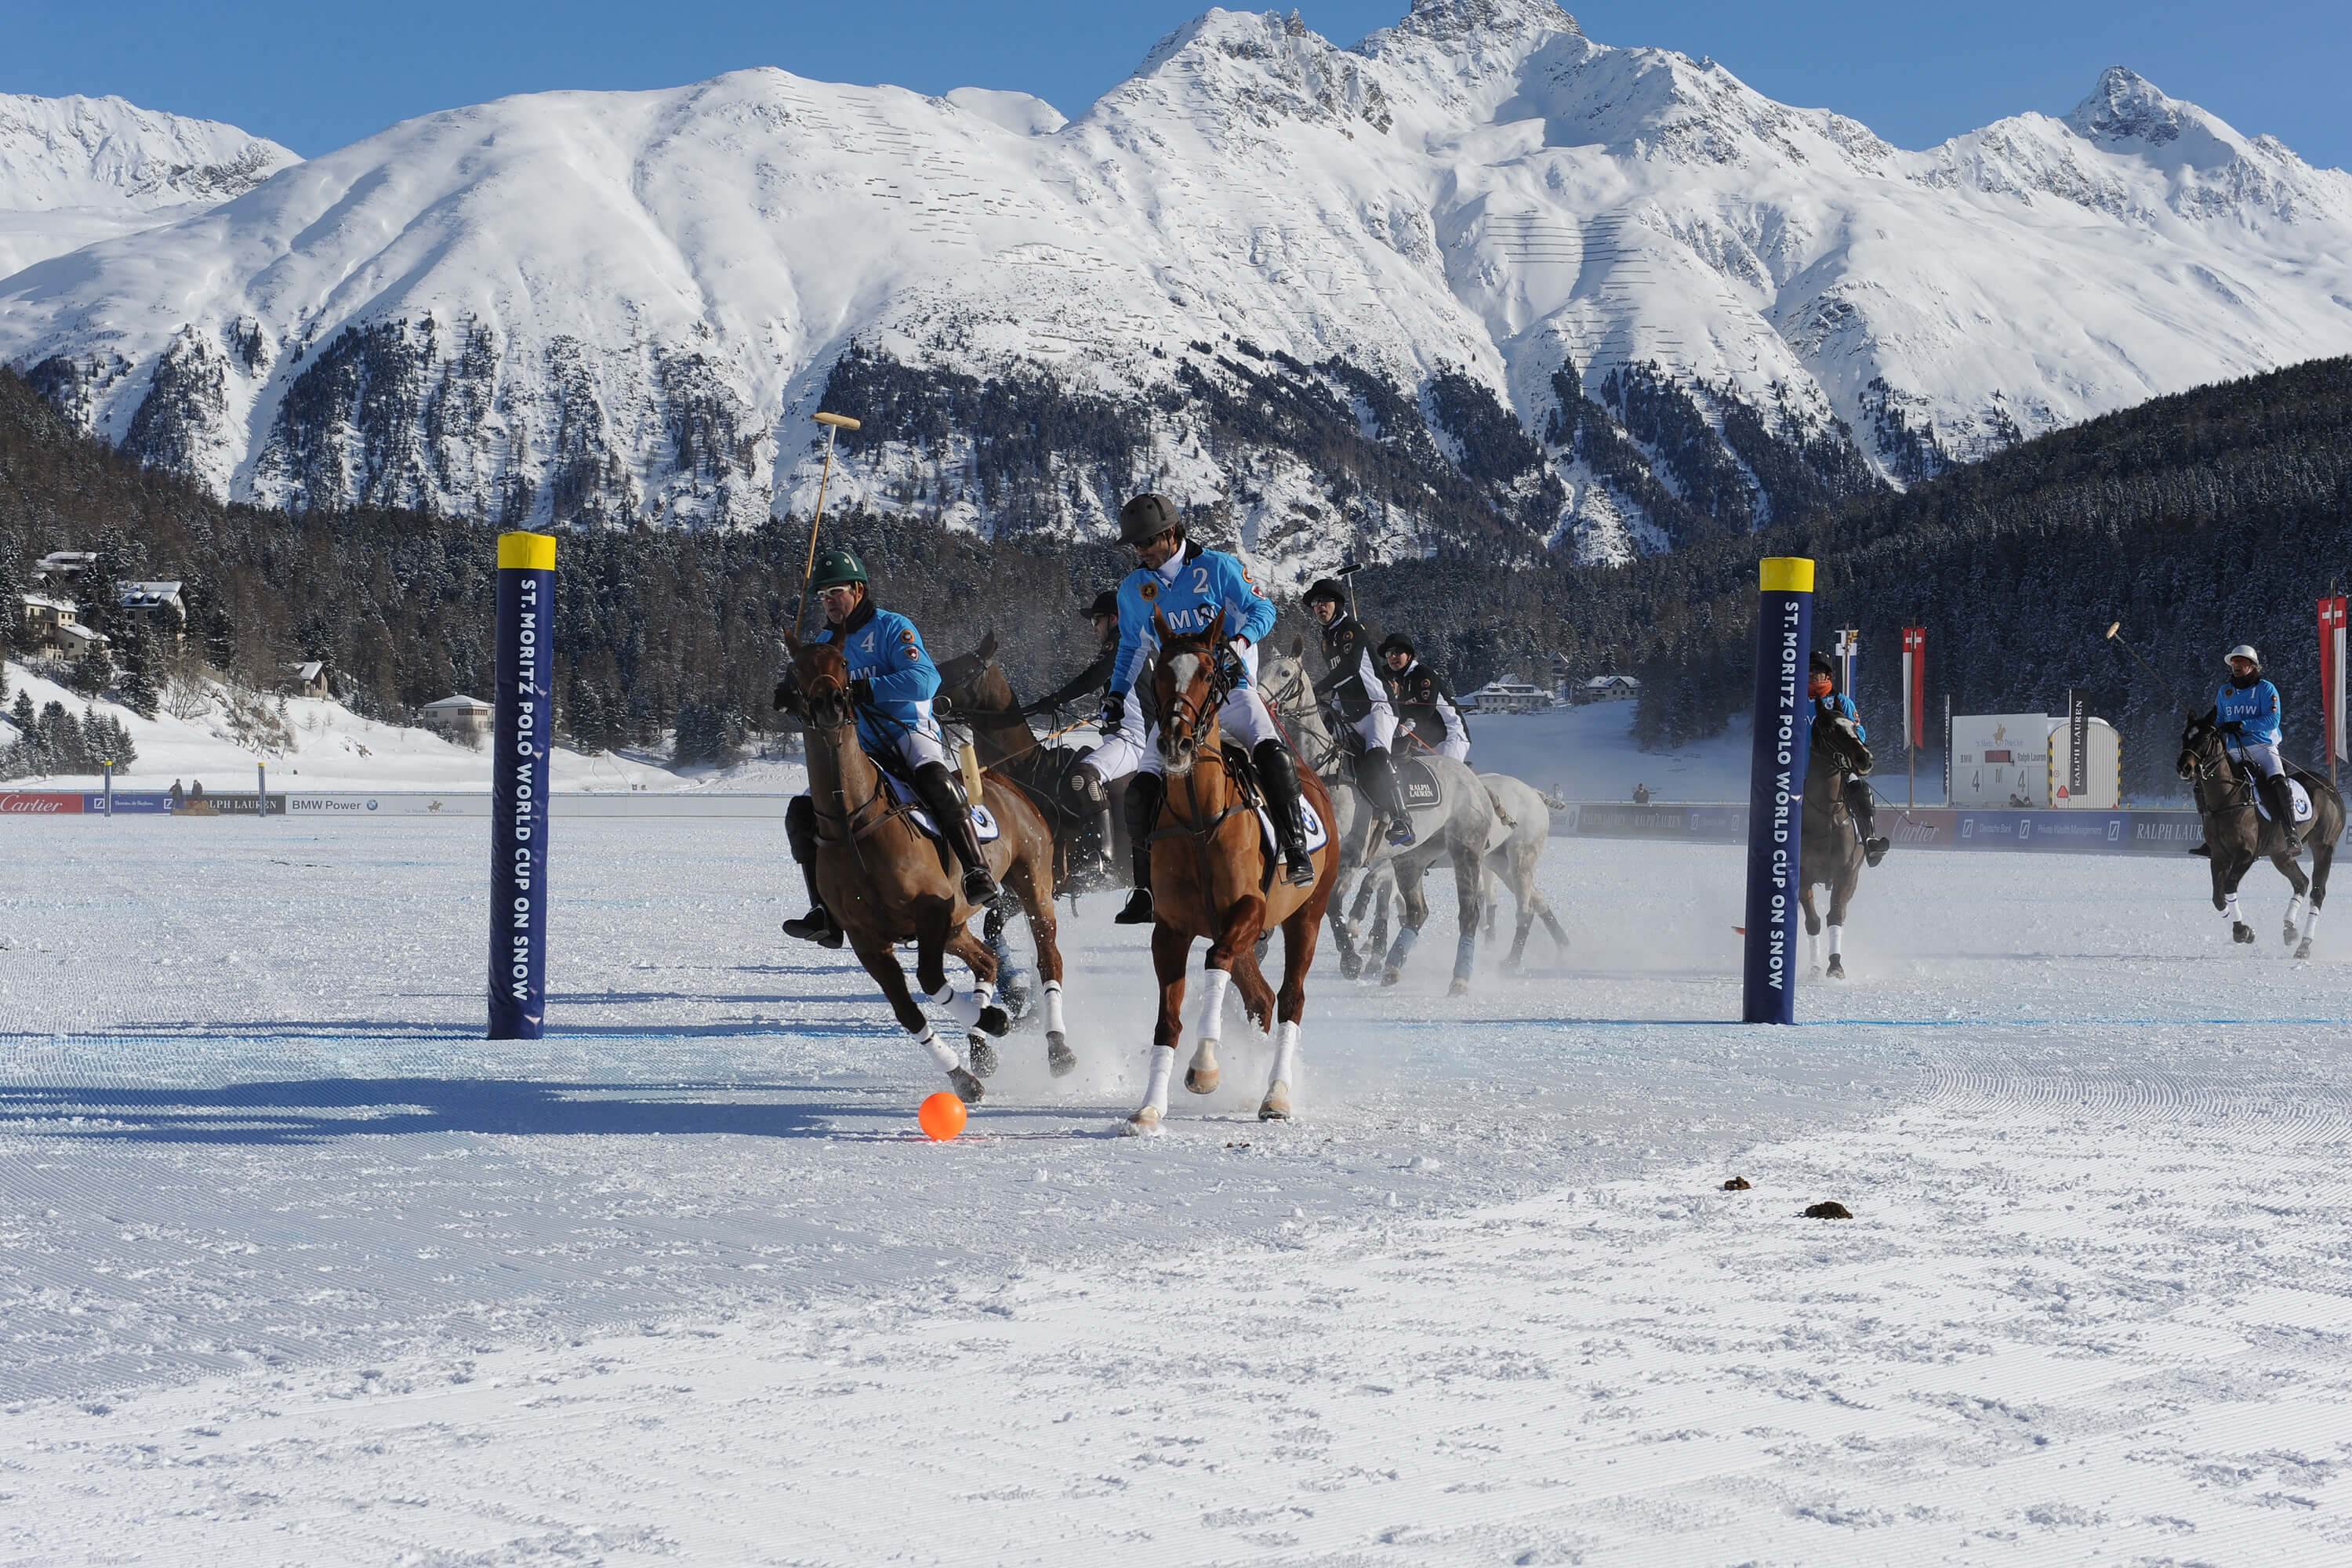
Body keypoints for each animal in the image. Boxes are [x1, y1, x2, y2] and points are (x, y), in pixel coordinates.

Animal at [776, 634, 1073, 1105]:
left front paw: (994, 1021)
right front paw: (964, 1075)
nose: (829, 704)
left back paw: (1057, 1049)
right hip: (957, 925)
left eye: (843, 663)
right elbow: (908, 1011)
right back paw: (982, 1048)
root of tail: (1007, 781)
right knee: (987, 960)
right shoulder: (867, 940)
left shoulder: (933, 910)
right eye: (795, 669)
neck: (852, 820)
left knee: (1048, 958)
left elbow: (931, 981)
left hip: (1033, 884)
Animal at [1124, 606, 1336, 1133]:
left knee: (1290, 998)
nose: (1175, 744)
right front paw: (1149, 1108)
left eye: (1208, 672)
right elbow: (1169, 1019)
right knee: (1261, 999)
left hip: (1307, 914)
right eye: (1159, 675)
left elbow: (1215, 962)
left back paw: (1276, 1095)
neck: (1201, 820)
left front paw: (1204, 1068)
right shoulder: (1172, 929)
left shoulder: (1248, 909)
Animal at [1797, 714, 1872, 982]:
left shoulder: (1847, 872)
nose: (1865, 758)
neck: (1825, 814)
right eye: (1831, 730)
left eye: (1854, 726)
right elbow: (1813, 921)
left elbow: (1836, 916)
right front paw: (1815, 968)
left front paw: (1835, 966)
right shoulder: (1803, 875)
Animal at [2173, 714, 2343, 959]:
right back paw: (2289, 929)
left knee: (2317, 893)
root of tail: (2331, 788)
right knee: (2301, 882)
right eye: (2184, 735)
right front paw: (2243, 931)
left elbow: (2229, 887)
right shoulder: (2219, 856)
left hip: (2324, 846)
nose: (2184, 767)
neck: (2226, 799)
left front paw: (2243, 932)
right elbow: (2218, 898)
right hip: (2280, 853)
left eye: (2205, 737)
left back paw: (2304, 945)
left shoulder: (2246, 855)